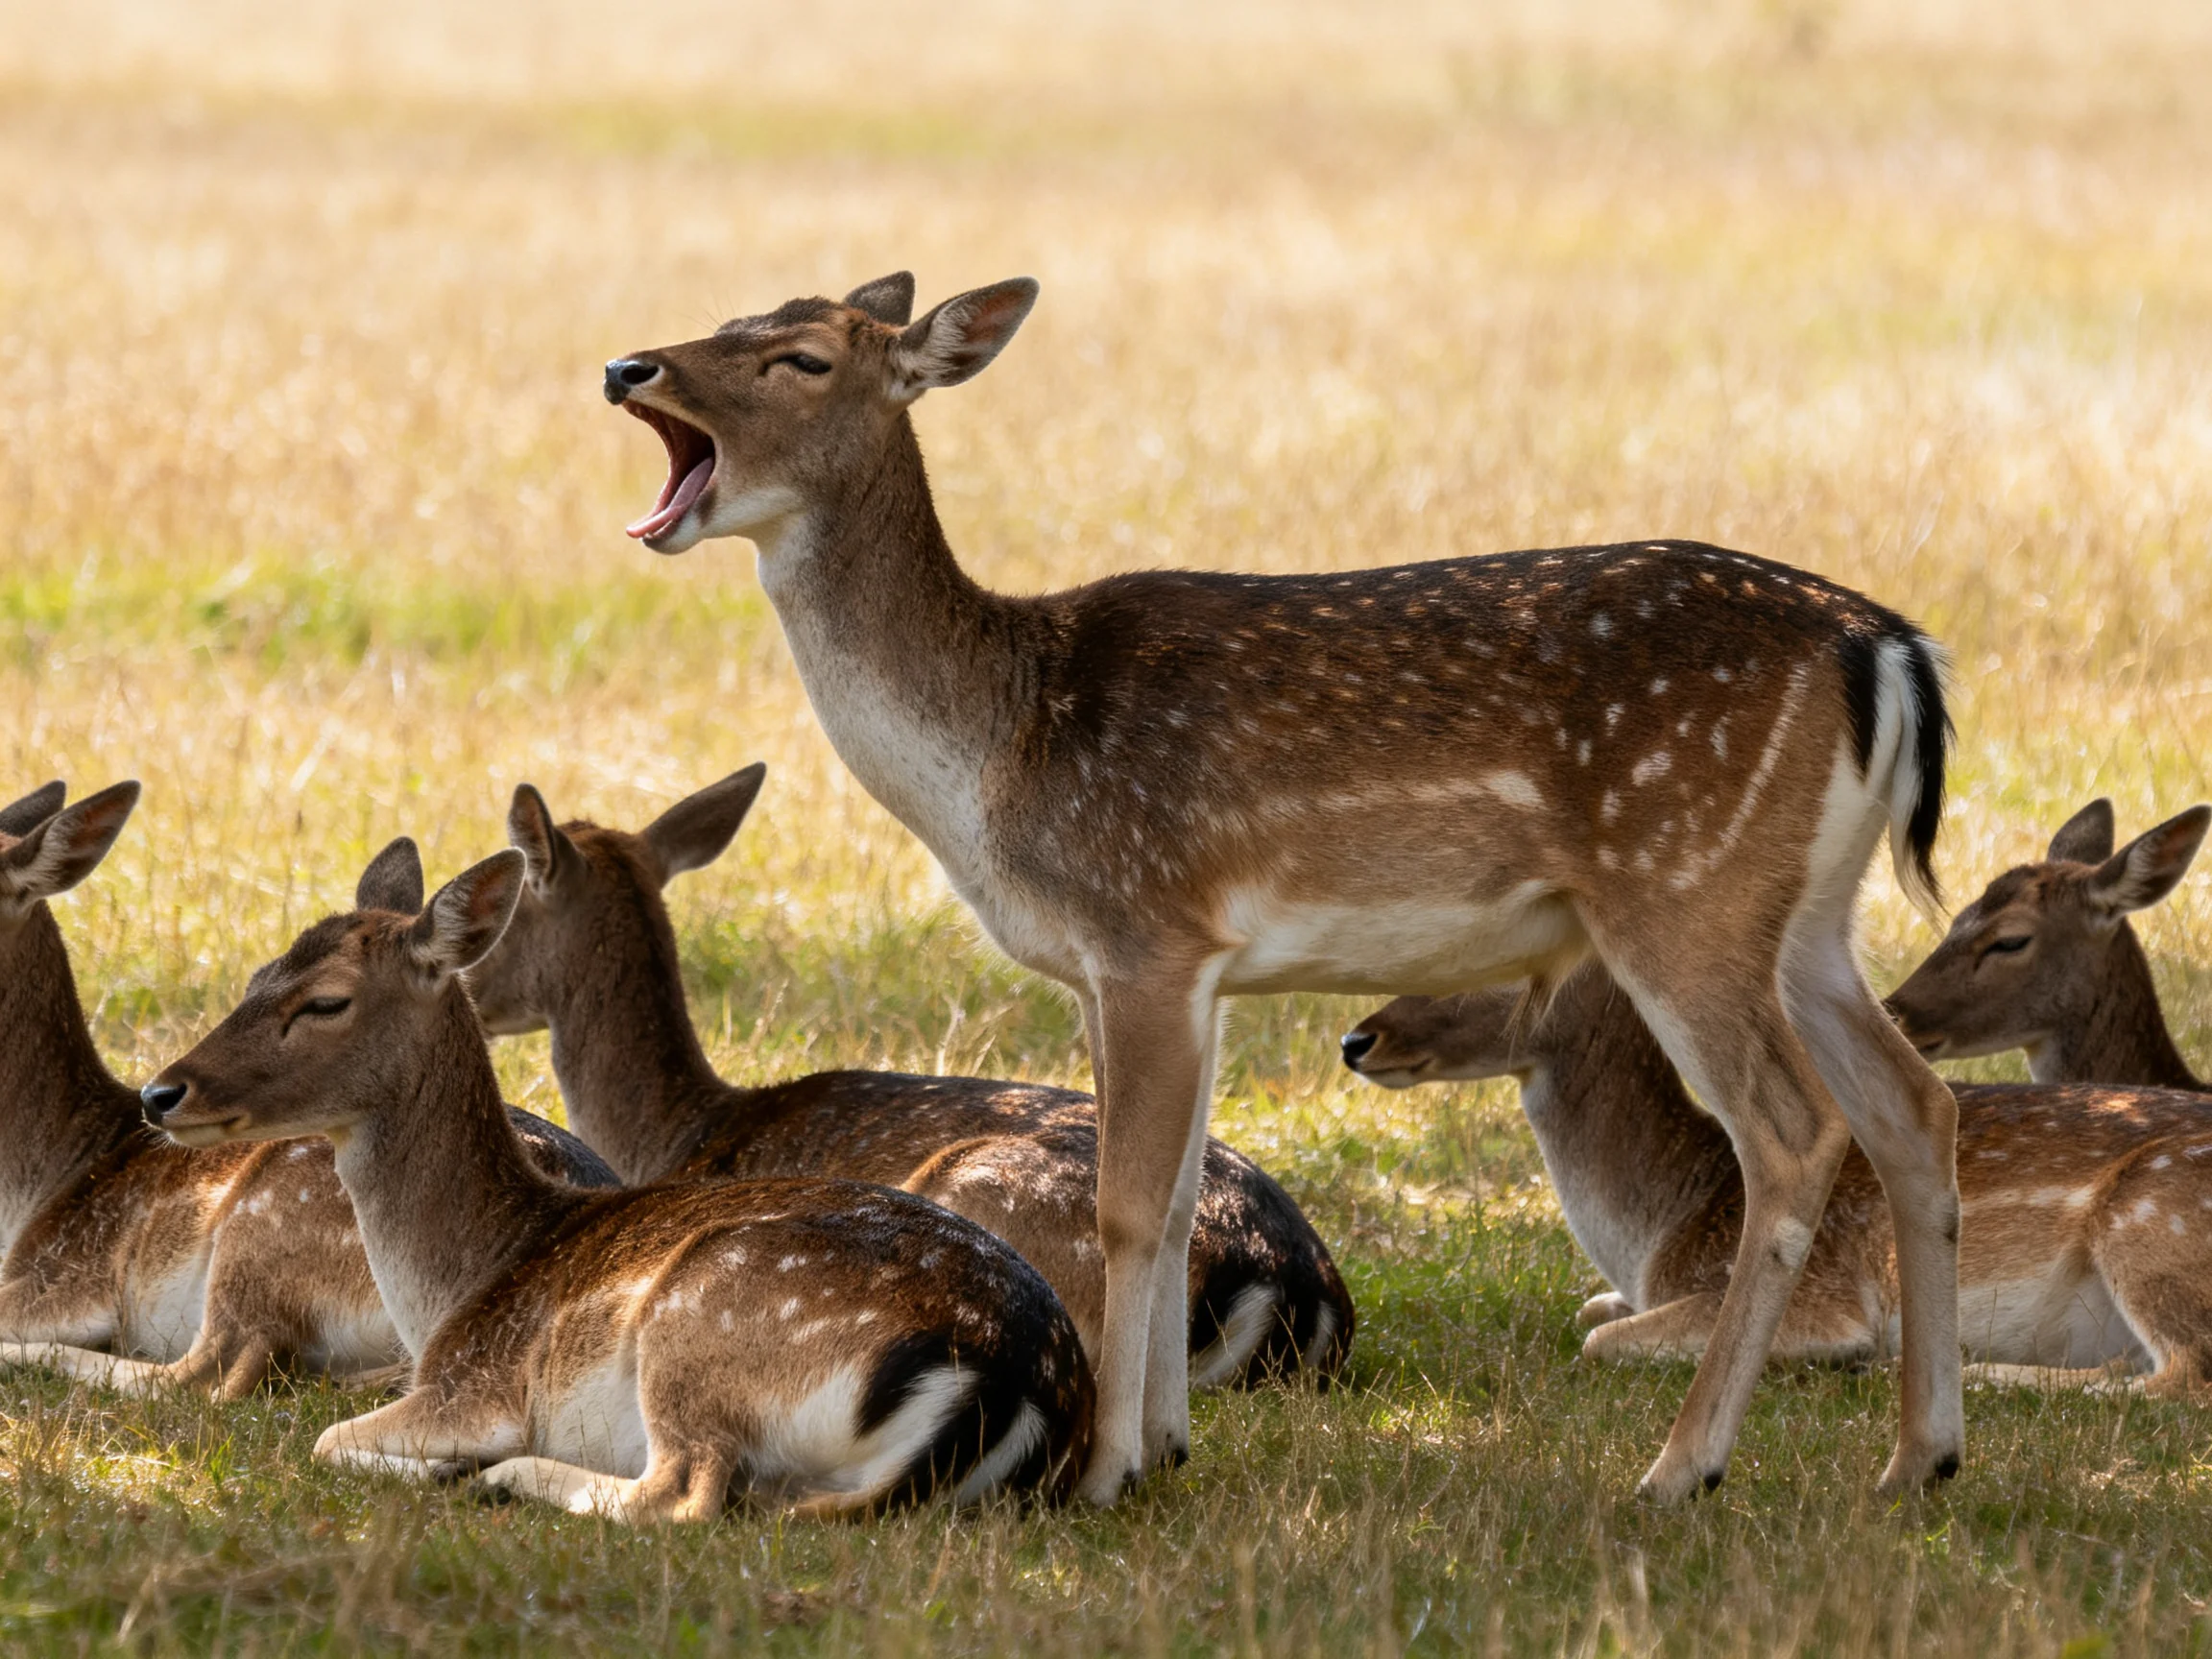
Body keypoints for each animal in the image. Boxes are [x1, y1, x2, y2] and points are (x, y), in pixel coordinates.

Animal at [0, 780, 618, 1401]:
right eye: (254, 979)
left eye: (324, 1003)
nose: (159, 1094)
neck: (40, 1189)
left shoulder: (69, 1272)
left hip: (259, 1235)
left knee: (207, 1375)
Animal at [140, 842, 1094, 1521]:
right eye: (258, 974)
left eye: (326, 1001)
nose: (161, 1091)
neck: (454, 1291)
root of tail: (1006, 1377)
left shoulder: (473, 1389)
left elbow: (327, 1439)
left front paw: (454, 1463)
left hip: (700, 1329)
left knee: (681, 1495)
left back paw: (502, 1475)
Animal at [603, 270, 1962, 1504]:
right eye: (728, 314)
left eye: (803, 357)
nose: (627, 366)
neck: (998, 757)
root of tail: (1888, 650)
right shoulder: (1164, 968)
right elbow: (1176, 1187)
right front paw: (1164, 1445)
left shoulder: (1144, 926)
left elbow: (1129, 1206)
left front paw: (1110, 1471)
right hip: (1808, 914)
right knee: (1914, 1102)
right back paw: (1918, 1460)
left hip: (1682, 884)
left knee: (1794, 1133)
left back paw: (1683, 1468)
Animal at [1345, 963, 2212, 1397]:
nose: (1358, 1039)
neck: (1663, 1227)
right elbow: (1592, 1308)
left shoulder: (1820, 1294)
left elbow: (1597, 1338)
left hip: (2147, 1217)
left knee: (2184, 1377)